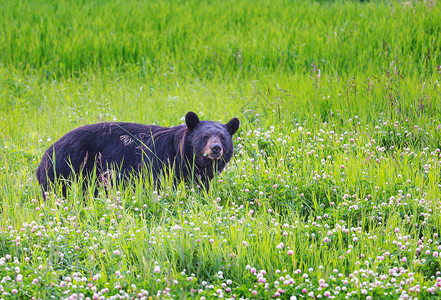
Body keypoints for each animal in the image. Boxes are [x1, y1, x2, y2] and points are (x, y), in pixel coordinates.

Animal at [36, 112, 239, 197]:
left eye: (223, 137)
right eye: (205, 136)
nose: (216, 148)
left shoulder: (199, 177)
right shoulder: (159, 164)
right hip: (65, 168)